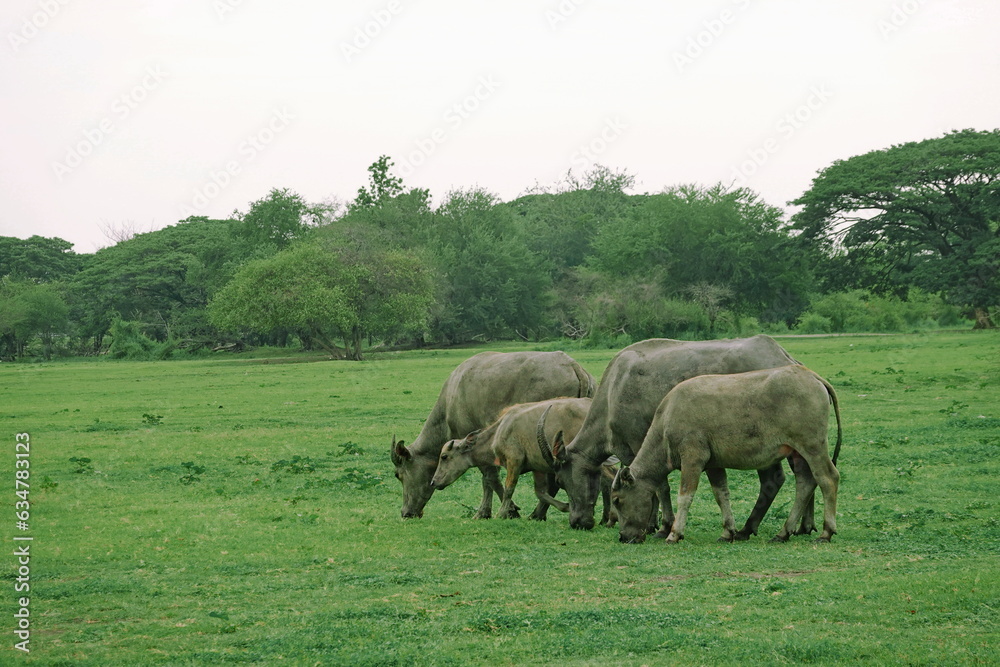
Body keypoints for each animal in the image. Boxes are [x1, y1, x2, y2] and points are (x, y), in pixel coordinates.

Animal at [390, 352, 592, 520]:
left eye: (398, 475)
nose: (406, 512)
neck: (451, 401)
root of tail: (573, 366)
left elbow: (489, 478)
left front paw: (501, 511)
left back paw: (537, 514)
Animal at [426, 396, 612, 520]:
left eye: (444, 456)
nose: (433, 482)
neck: (499, 432)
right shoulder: (537, 468)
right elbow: (540, 492)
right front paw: (564, 506)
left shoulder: (514, 462)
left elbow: (509, 488)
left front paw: (502, 513)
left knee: (608, 480)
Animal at [544, 336, 800, 536]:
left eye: (560, 481)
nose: (577, 522)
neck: (613, 392)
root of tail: (783, 356)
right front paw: (652, 524)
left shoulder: (638, 444)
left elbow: (660, 487)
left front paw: (664, 525)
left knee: (775, 480)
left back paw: (751, 528)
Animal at [612, 368, 840, 544]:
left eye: (617, 500)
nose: (623, 537)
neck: (668, 418)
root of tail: (811, 376)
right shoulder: (713, 465)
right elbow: (721, 494)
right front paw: (728, 531)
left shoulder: (692, 459)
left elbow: (685, 496)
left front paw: (674, 533)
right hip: (798, 453)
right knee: (805, 483)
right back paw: (783, 533)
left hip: (812, 446)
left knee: (828, 478)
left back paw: (826, 532)